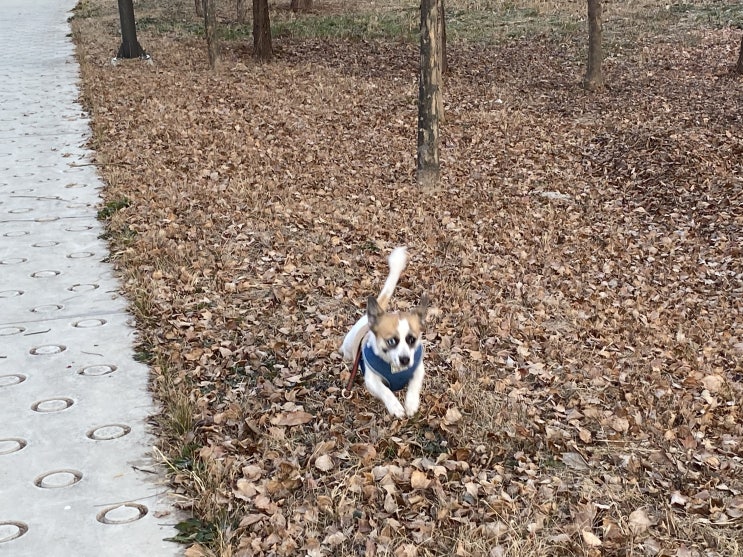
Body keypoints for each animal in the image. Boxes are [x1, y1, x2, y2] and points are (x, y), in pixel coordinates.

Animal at [342, 248, 430, 416]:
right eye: (391, 341)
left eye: (412, 339)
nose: (405, 360)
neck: (394, 368)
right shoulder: (372, 381)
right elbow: (385, 390)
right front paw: (395, 406)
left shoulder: (418, 370)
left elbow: (414, 385)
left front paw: (411, 403)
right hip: (349, 347)